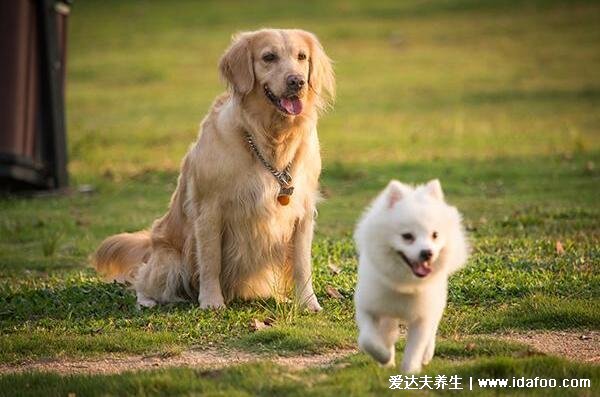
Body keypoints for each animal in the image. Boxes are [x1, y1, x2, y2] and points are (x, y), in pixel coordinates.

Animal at [356, 179, 468, 372]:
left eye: (435, 235)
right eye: (407, 236)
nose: (427, 253)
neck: (405, 284)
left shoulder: (422, 317)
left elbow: (415, 348)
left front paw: (411, 371)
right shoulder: (367, 307)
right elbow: (368, 340)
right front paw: (384, 357)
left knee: (431, 331)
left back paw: (427, 354)